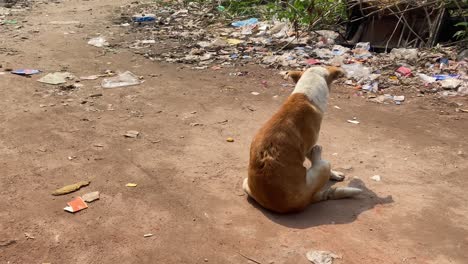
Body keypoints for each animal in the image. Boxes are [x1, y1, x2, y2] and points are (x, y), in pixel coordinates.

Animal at [245, 67, 362, 213]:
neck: (304, 95)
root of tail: (308, 199)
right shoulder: (308, 147)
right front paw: (333, 173)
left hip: (246, 183)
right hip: (324, 166)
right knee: (321, 162)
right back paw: (319, 154)